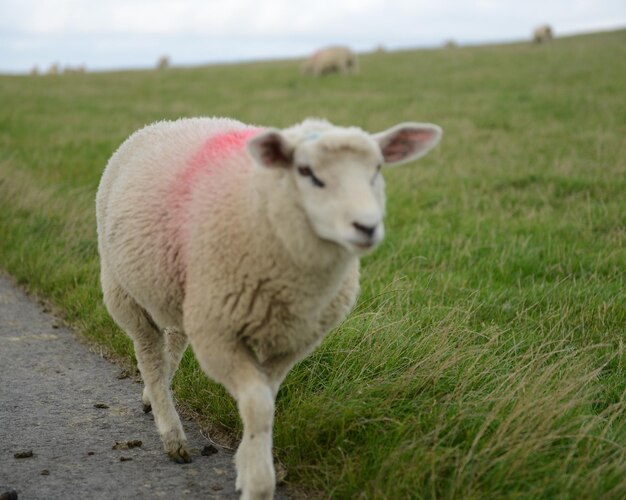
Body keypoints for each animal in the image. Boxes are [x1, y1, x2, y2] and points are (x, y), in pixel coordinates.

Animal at [95, 115, 442, 498]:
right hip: (123, 291)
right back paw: (172, 434)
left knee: (173, 341)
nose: (366, 227)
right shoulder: (218, 334)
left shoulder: (291, 341)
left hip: (183, 292)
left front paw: (247, 464)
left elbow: (266, 400)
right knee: (150, 356)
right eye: (305, 171)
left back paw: (150, 399)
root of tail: (168, 121)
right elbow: (258, 405)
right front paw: (258, 482)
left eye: (377, 168)